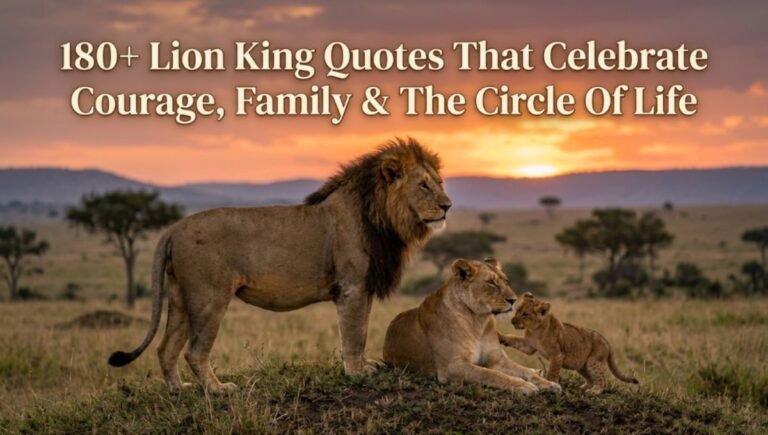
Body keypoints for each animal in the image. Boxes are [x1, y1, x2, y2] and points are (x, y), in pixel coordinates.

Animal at [108, 138, 452, 393]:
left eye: (440, 182)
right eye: (423, 185)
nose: (447, 206)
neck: (382, 217)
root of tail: (174, 228)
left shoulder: (363, 287)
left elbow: (363, 330)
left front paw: (365, 366)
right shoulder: (352, 287)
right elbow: (354, 333)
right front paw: (357, 372)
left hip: (181, 296)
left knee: (166, 348)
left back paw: (179, 390)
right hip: (209, 297)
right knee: (194, 351)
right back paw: (218, 390)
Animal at [383, 258, 562, 395]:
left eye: (506, 281)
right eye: (491, 283)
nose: (513, 300)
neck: (478, 321)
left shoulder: (498, 360)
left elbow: (524, 371)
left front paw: (549, 384)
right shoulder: (452, 366)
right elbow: (491, 374)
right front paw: (523, 385)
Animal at [500, 293, 639, 394]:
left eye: (525, 314)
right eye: (517, 310)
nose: (512, 321)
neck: (535, 330)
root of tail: (607, 342)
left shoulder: (557, 355)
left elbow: (552, 372)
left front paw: (551, 384)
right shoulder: (529, 346)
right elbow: (513, 338)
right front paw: (500, 336)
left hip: (593, 362)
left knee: (603, 381)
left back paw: (594, 391)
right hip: (582, 366)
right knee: (590, 379)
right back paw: (583, 387)